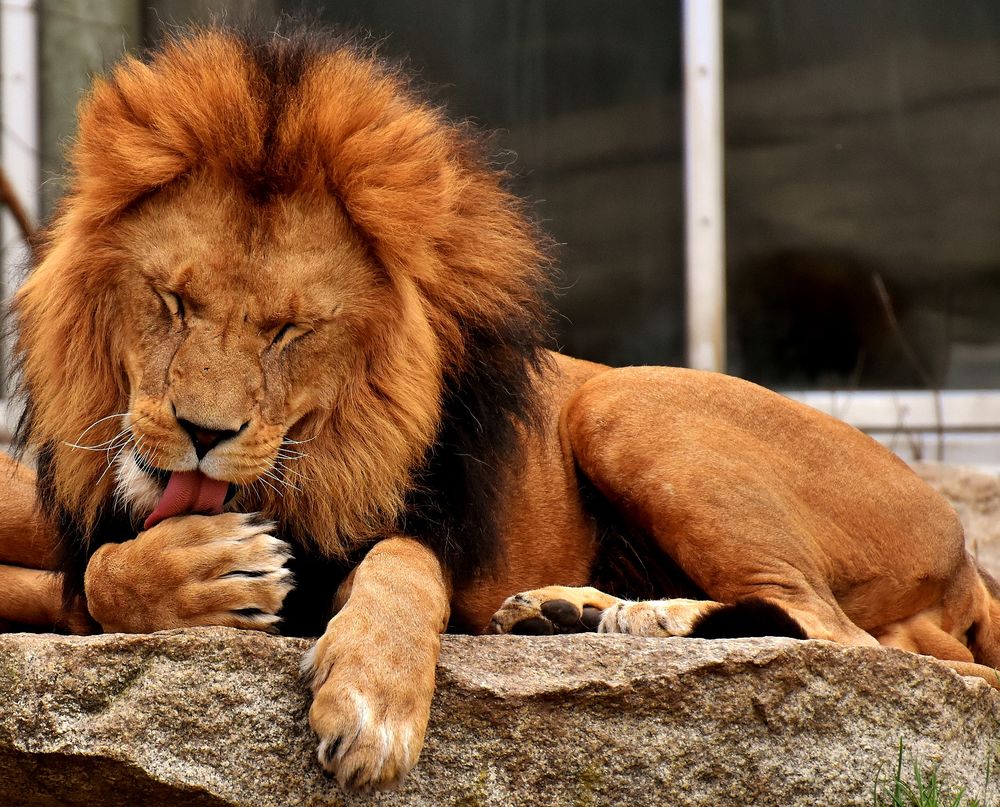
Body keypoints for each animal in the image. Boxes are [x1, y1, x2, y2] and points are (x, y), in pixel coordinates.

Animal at [1, 25, 1000, 796]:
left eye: (290, 330)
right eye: (172, 301)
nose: (204, 435)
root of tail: (964, 555)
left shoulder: (410, 535)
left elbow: (402, 565)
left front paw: (371, 703)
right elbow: (95, 573)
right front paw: (200, 571)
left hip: (621, 401)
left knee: (844, 638)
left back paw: (648, 623)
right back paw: (571, 614)